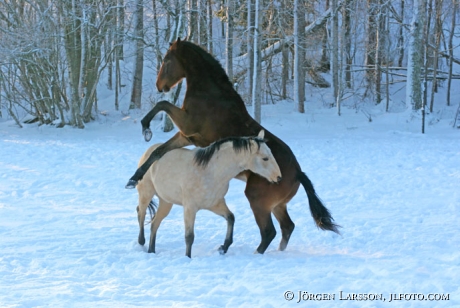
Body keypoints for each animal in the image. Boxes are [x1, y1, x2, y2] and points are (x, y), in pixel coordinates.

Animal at [135, 130, 282, 258]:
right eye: (265, 158)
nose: (278, 177)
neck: (211, 172)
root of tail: (148, 152)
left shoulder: (215, 204)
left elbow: (231, 218)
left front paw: (223, 248)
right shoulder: (190, 207)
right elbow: (189, 236)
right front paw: (188, 257)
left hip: (166, 202)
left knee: (155, 223)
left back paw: (151, 250)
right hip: (146, 193)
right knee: (141, 213)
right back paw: (141, 241)